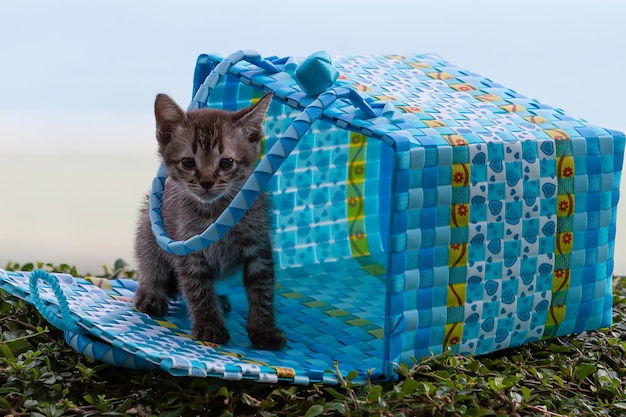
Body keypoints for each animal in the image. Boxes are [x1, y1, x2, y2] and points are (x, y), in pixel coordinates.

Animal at [135, 92, 286, 350]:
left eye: (226, 162)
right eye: (188, 162)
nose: (206, 182)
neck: (215, 212)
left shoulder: (258, 245)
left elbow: (262, 289)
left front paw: (264, 329)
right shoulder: (186, 248)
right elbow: (198, 289)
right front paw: (209, 325)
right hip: (149, 226)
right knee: (150, 264)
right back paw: (151, 293)